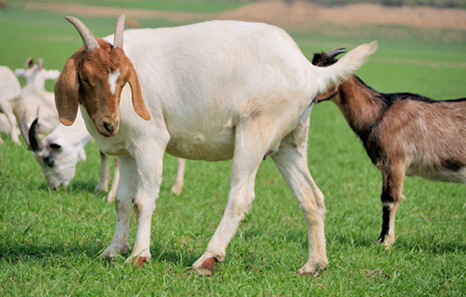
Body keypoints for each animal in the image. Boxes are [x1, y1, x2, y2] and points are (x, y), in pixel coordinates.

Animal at [54, 15, 376, 276]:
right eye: (86, 78)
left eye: (122, 79)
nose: (109, 123)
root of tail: (310, 72)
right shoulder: (128, 151)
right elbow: (122, 200)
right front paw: (113, 250)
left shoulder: (150, 142)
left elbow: (143, 201)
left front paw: (139, 255)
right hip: (289, 143)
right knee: (311, 197)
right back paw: (314, 265)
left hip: (255, 131)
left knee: (241, 196)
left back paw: (207, 259)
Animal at [312, 46, 466, 245]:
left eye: (323, 70)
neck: (380, 113)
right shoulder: (386, 166)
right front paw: (381, 239)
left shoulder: (395, 161)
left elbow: (389, 198)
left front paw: (386, 241)